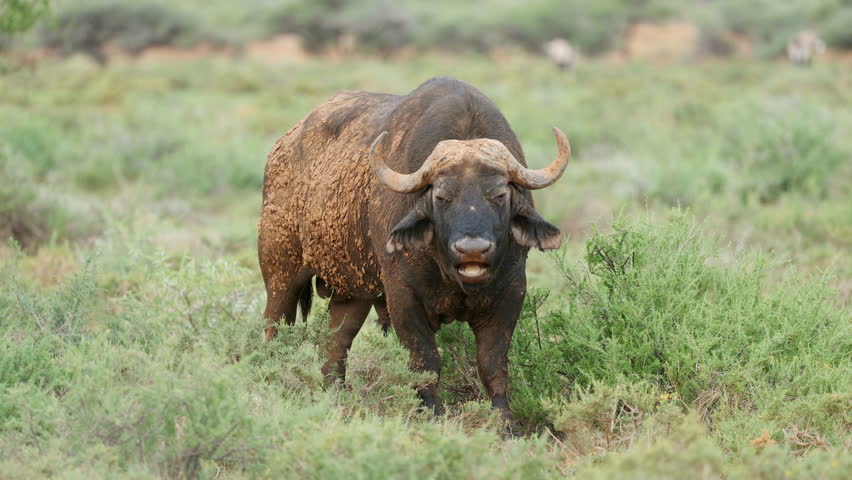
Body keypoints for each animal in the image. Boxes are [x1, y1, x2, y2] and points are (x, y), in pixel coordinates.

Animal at [258, 77, 570, 424]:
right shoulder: (403, 297)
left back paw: (335, 396)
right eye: (441, 197)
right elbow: (425, 361)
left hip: (353, 294)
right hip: (280, 271)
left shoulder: (511, 293)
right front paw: (430, 413)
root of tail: (283, 147)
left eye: (499, 195)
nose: (472, 249)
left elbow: (493, 364)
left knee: (335, 343)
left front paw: (505, 422)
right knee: (273, 328)